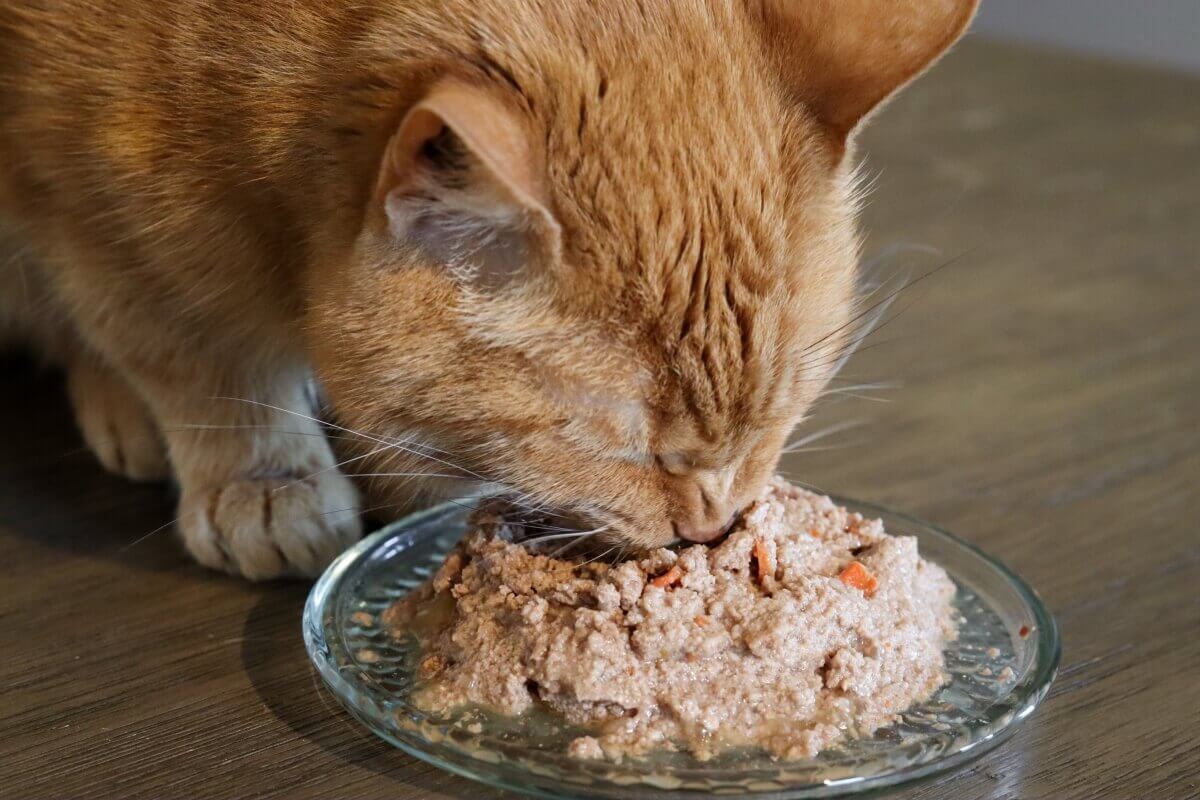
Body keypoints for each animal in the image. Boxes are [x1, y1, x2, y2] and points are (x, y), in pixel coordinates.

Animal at [0, 0, 974, 575]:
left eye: (783, 411)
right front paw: (261, 475)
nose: (712, 530)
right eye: (631, 447)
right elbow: (189, 354)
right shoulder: (77, 208)